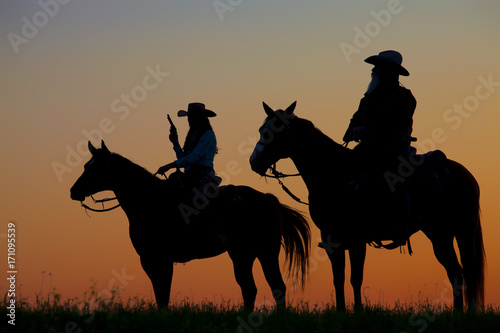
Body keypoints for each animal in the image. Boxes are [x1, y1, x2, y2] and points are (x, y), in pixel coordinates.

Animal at [68, 140, 306, 308]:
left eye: (95, 168)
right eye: (86, 165)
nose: (73, 191)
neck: (149, 200)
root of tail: (268, 199)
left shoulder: (158, 259)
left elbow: (162, 294)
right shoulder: (153, 260)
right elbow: (161, 294)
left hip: (257, 252)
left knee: (266, 287)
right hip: (251, 254)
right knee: (261, 287)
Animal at [249, 101, 484, 312]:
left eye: (277, 131)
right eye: (261, 129)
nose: (254, 161)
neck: (335, 174)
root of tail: (464, 174)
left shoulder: (356, 240)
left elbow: (355, 278)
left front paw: (358, 311)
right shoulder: (332, 239)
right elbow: (339, 278)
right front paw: (342, 312)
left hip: (452, 233)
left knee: (463, 270)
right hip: (446, 234)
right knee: (457, 271)